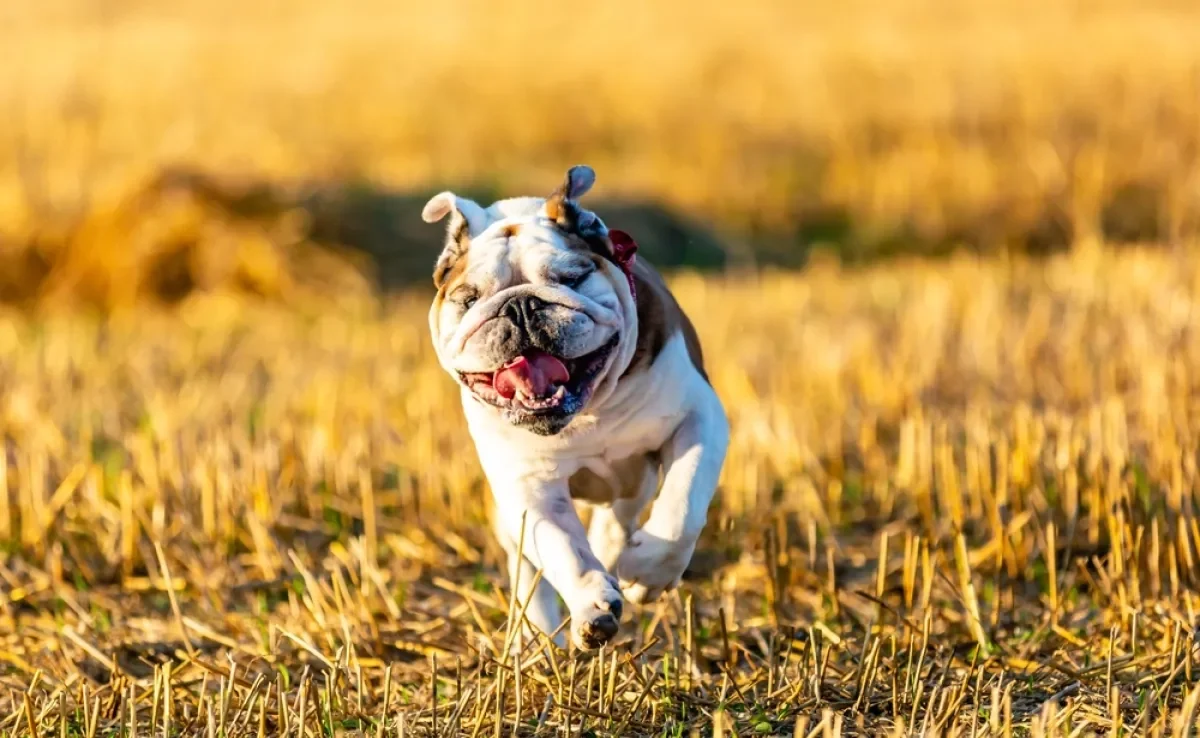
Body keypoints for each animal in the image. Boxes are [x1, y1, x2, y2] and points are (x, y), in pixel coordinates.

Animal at [427, 164, 724, 648]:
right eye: (468, 300)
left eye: (571, 278)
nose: (520, 305)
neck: (589, 411)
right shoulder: (527, 482)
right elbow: (561, 546)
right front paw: (591, 606)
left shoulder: (699, 418)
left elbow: (684, 501)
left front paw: (648, 572)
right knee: (529, 567)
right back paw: (536, 634)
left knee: (619, 518)